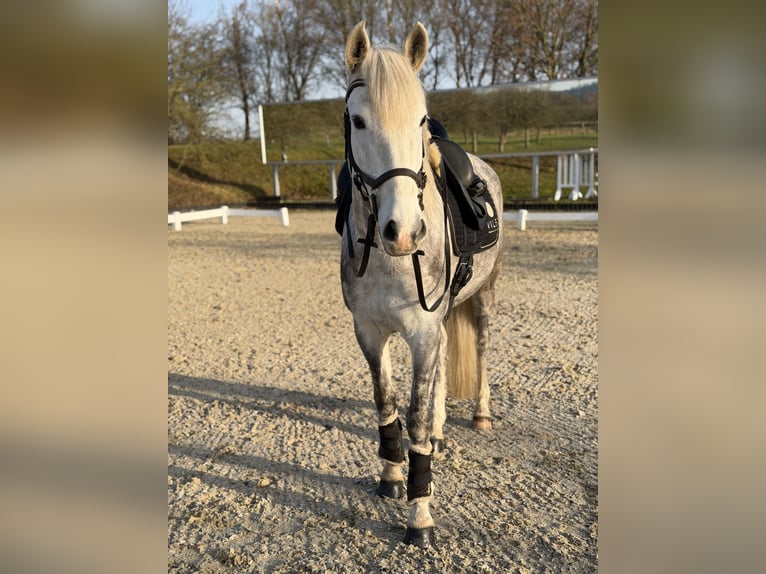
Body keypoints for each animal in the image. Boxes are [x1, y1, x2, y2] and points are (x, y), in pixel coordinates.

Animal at [339, 21, 504, 548]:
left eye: (420, 122)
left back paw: (479, 415)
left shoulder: (421, 333)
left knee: (482, 348)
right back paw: (440, 431)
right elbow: (387, 403)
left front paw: (420, 513)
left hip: (484, 297)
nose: (404, 231)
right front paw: (392, 476)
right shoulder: (370, 331)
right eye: (358, 121)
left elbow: (413, 413)